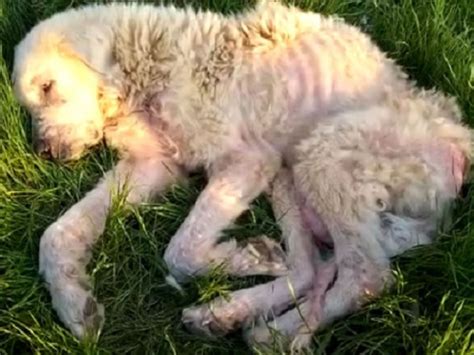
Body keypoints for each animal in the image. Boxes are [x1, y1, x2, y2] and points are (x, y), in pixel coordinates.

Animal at [11, 0, 470, 350]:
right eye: (29, 106)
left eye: (48, 87)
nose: (45, 153)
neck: (148, 66)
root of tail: (459, 150)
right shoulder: (155, 165)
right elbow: (59, 232)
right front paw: (73, 301)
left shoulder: (246, 160)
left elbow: (180, 251)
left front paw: (244, 258)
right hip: (292, 174)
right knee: (313, 269)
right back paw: (228, 316)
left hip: (322, 153)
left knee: (365, 275)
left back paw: (271, 331)